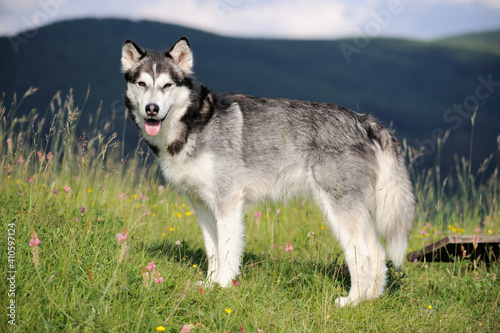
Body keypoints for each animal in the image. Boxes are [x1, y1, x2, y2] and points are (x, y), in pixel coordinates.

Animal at [120, 37, 414, 306]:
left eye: (167, 85)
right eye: (142, 84)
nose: (152, 109)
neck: (194, 125)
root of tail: (365, 121)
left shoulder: (228, 204)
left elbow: (227, 251)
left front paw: (223, 287)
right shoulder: (202, 207)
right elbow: (213, 252)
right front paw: (210, 285)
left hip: (339, 209)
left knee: (362, 254)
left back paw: (351, 302)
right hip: (359, 213)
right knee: (378, 254)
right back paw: (370, 300)